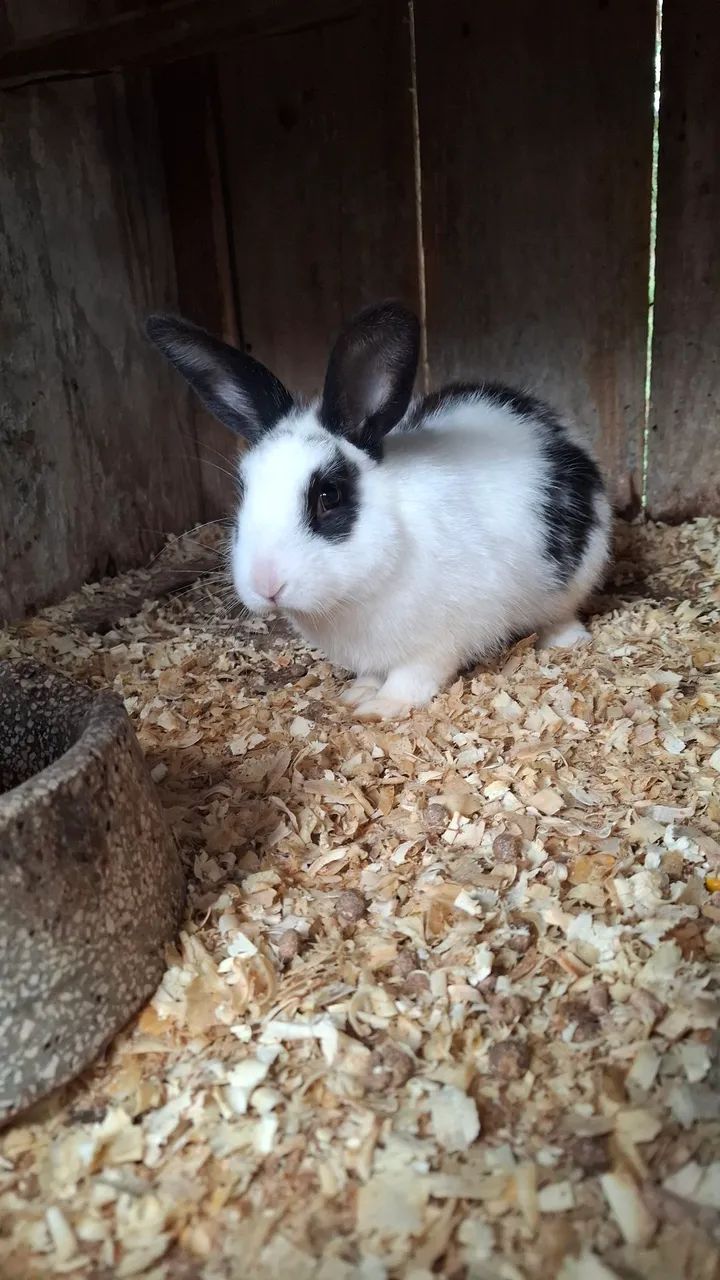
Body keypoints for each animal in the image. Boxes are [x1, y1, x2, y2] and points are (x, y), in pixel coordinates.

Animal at [146, 301, 611, 720]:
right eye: (243, 490)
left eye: (329, 496)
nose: (266, 585)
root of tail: (552, 422)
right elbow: (371, 673)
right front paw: (357, 695)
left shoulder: (443, 637)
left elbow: (414, 676)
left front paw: (381, 707)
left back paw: (566, 640)